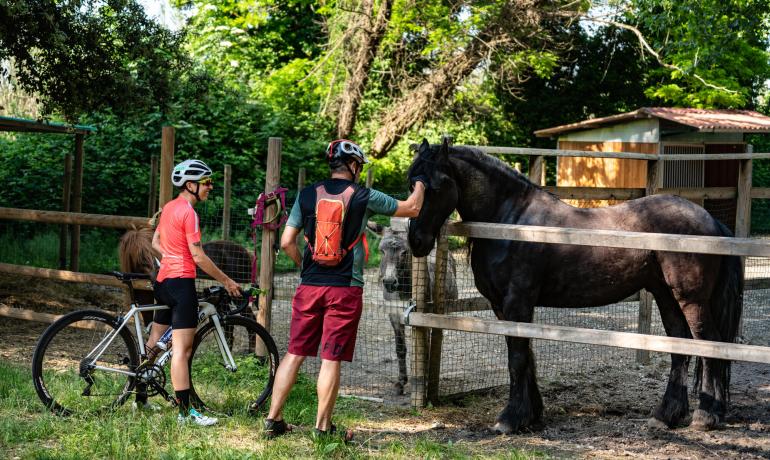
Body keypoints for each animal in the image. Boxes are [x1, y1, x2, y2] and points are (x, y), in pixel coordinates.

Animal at [404, 138, 740, 434]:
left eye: (435, 187)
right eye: (411, 184)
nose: (416, 241)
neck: (510, 223)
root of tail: (712, 222)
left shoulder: (517, 301)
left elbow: (517, 358)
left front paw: (510, 419)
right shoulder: (504, 306)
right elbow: (527, 356)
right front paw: (532, 415)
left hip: (691, 299)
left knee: (709, 344)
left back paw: (705, 417)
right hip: (665, 295)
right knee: (680, 347)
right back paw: (666, 416)